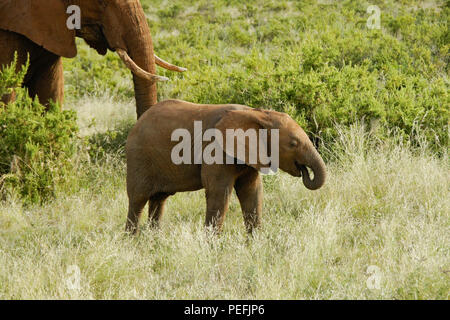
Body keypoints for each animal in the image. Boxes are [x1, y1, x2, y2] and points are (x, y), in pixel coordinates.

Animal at [125, 99, 326, 234]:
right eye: (293, 144)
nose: (304, 171)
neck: (259, 114)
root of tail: (138, 122)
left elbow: (252, 192)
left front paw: (257, 244)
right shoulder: (215, 149)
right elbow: (219, 192)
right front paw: (211, 247)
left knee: (159, 200)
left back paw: (154, 240)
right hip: (138, 157)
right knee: (137, 200)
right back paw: (132, 242)